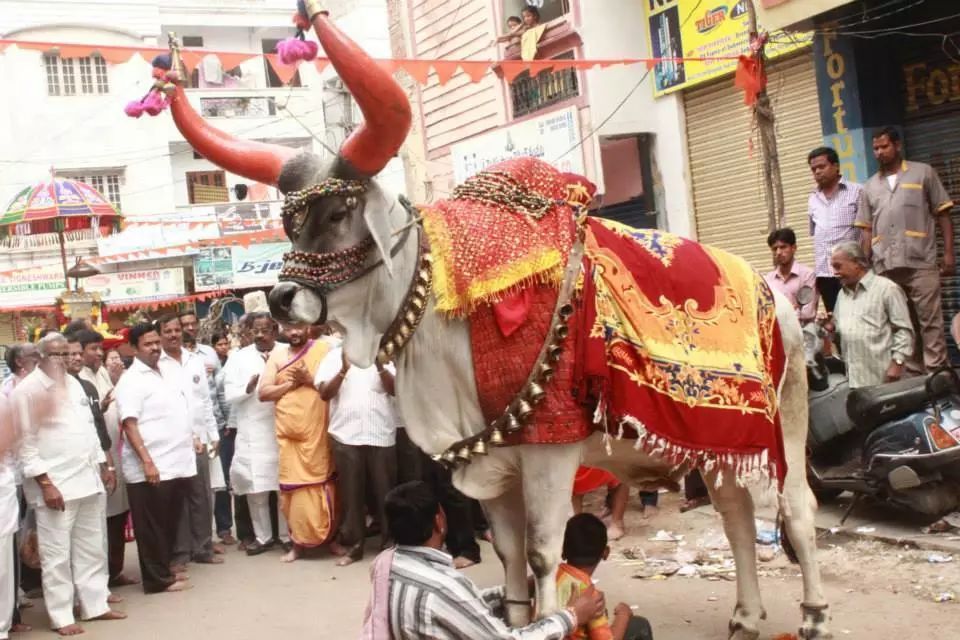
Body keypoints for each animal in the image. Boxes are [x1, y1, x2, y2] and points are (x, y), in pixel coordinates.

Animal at [159, 2, 832, 636]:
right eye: (290, 220)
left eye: (340, 213)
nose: (279, 299)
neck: (443, 318)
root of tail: (773, 297)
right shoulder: (493, 464)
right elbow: (508, 556)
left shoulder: (550, 452)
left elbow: (541, 555)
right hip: (718, 440)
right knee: (735, 513)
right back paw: (746, 615)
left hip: (786, 421)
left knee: (796, 510)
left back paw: (813, 614)